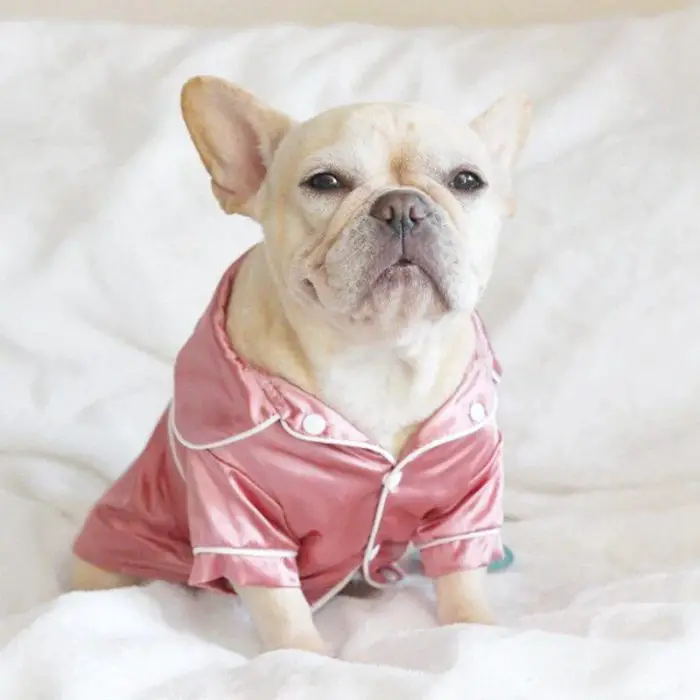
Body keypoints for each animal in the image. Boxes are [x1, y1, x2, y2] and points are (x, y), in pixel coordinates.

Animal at [69, 76, 532, 656]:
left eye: (468, 180)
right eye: (325, 182)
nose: (403, 206)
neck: (378, 354)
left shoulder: (466, 491)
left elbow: (461, 570)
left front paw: (474, 629)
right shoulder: (238, 513)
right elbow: (278, 602)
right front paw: (306, 659)